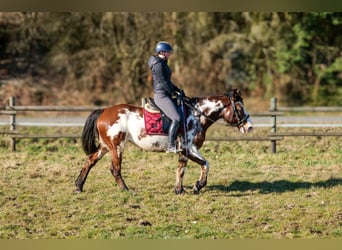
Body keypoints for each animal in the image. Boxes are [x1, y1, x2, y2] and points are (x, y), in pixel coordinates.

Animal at [75, 89, 251, 194]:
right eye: (239, 108)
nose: (249, 127)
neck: (196, 115)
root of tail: (104, 111)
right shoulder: (189, 148)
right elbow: (205, 164)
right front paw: (198, 185)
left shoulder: (184, 151)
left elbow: (181, 169)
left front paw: (180, 190)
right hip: (116, 147)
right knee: (115, 169)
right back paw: (126, 189)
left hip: (105, 147)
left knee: (90, 161)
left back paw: (78, 186)